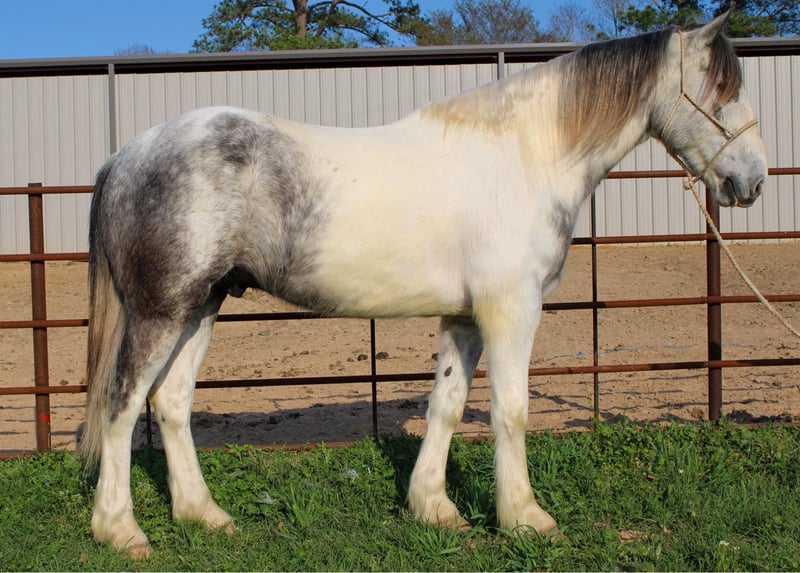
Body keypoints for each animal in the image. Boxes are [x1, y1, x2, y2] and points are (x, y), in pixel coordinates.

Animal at [80, 12, 766, 558]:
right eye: (722, 90)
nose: (753, 180)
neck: (527, 157)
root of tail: (124, 156)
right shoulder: (511, 311)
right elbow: (511, 411)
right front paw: (525, 518)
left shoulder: (464, 317)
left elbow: (448, 405)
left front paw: (435, 508)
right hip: (160, 312)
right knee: (122, 403)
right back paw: (121, 531)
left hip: (201, 305)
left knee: (171, 402)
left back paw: (205, 515)